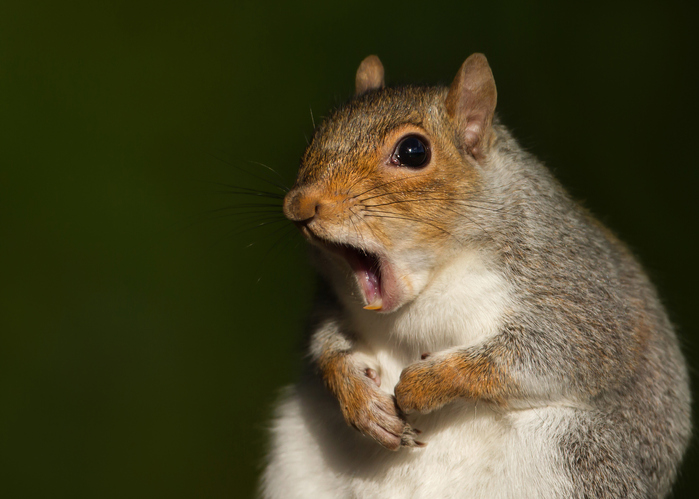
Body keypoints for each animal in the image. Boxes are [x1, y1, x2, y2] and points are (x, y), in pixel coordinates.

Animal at [256, 54, 688, 499]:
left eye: (413, 151)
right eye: (318, 133)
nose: (298, 204)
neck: (430, 284)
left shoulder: (576, 291)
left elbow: (549, 355)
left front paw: (424, 384)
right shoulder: (332, 299)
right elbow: (327, 343)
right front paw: (359, 398)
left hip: (580, 455)